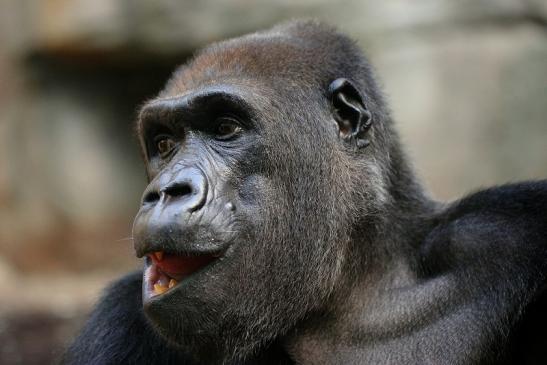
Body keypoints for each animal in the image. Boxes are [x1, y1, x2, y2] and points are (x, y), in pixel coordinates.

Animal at [62, 20, 544, 364]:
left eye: (226, 128)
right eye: (163, 144)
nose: (166, 191)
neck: (357, 284)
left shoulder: (510, 233)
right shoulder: (118, 319)